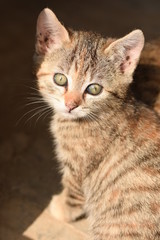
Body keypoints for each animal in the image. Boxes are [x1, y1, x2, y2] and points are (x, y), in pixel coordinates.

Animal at [34, 8, 159, 239]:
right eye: (60, 79)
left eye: (94, 89)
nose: (71, 105)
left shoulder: (79, 168)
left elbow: (73, 192)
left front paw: (62, 208)